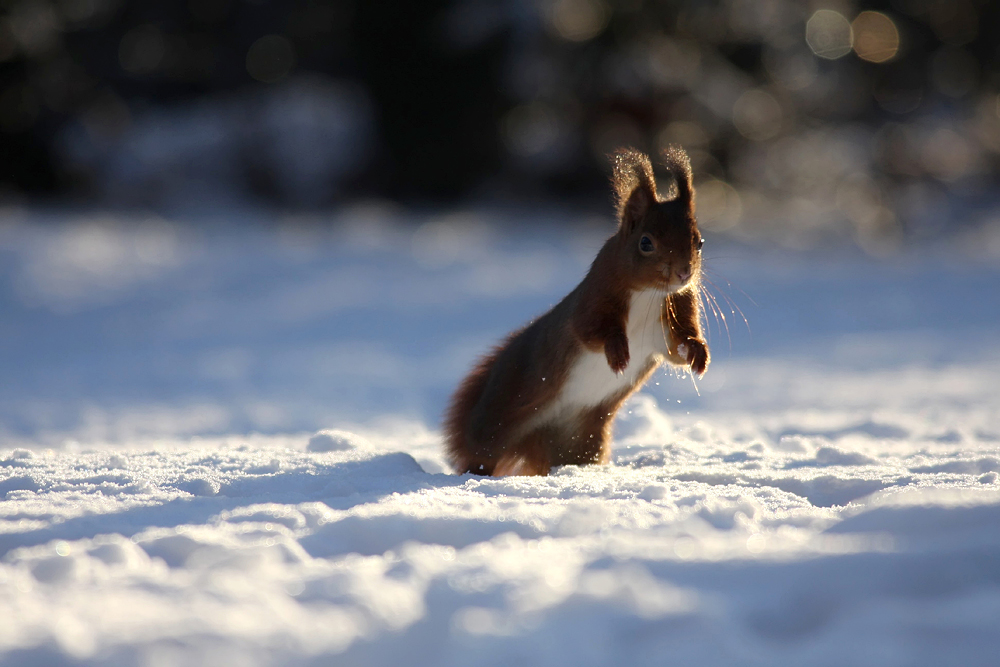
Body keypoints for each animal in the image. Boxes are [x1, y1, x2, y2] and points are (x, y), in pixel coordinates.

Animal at [446, 148, 712, 478]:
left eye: (699, 242)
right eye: (645, 243)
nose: (683, 273)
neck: (650, 294)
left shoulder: (669, 321)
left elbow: (676, 349)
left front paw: (698, 352)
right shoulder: (591, 302)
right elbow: (591, 331)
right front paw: (617, 350)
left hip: (583, 440)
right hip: (498, 424)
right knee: (481, 455)